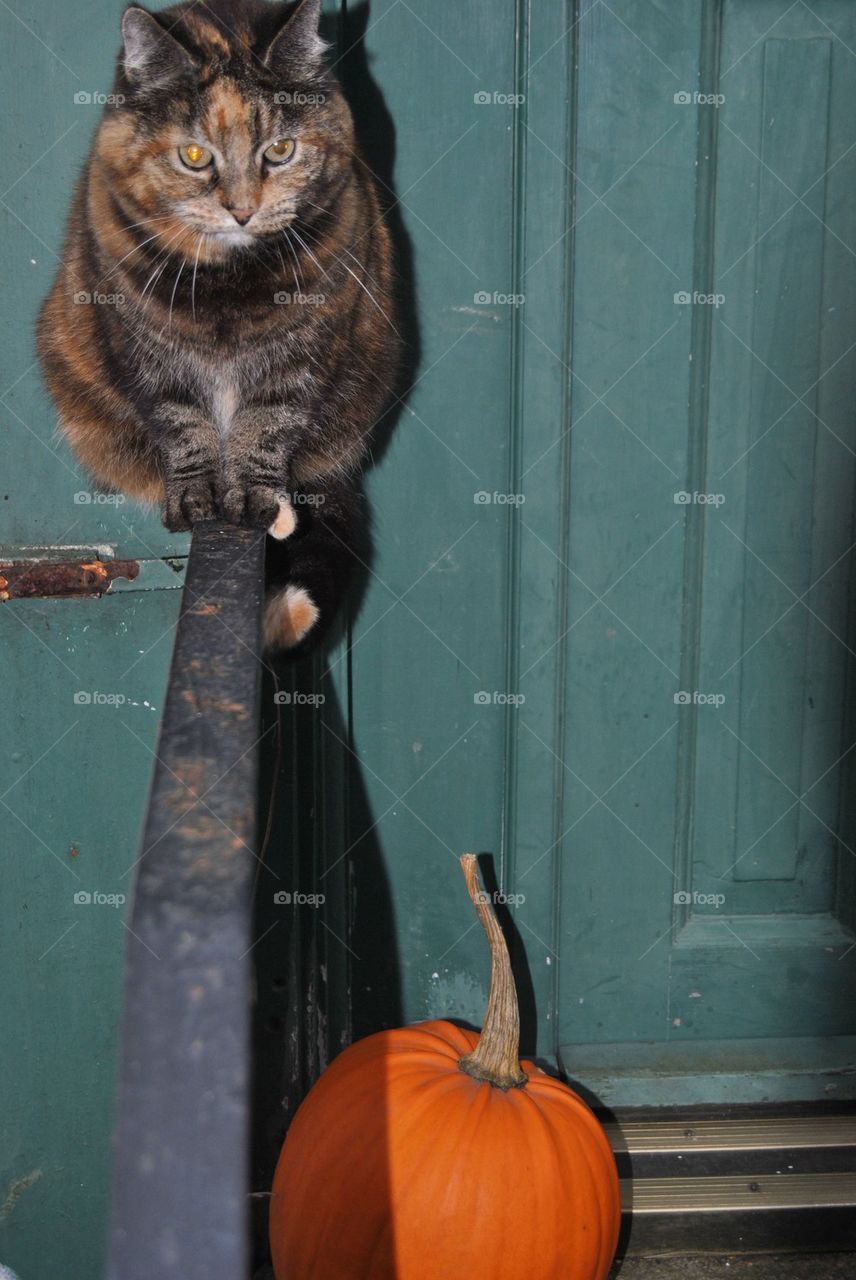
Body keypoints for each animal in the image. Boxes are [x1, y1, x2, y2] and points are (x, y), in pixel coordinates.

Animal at [37, 0, 401, 655]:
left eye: (280, 150)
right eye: (194, 155)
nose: (242, 210)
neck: (232, 281)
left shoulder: (302, 347)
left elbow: (269, 421)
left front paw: (255, 499)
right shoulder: (147, 349)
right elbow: (181, 424)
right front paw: (198, 498)